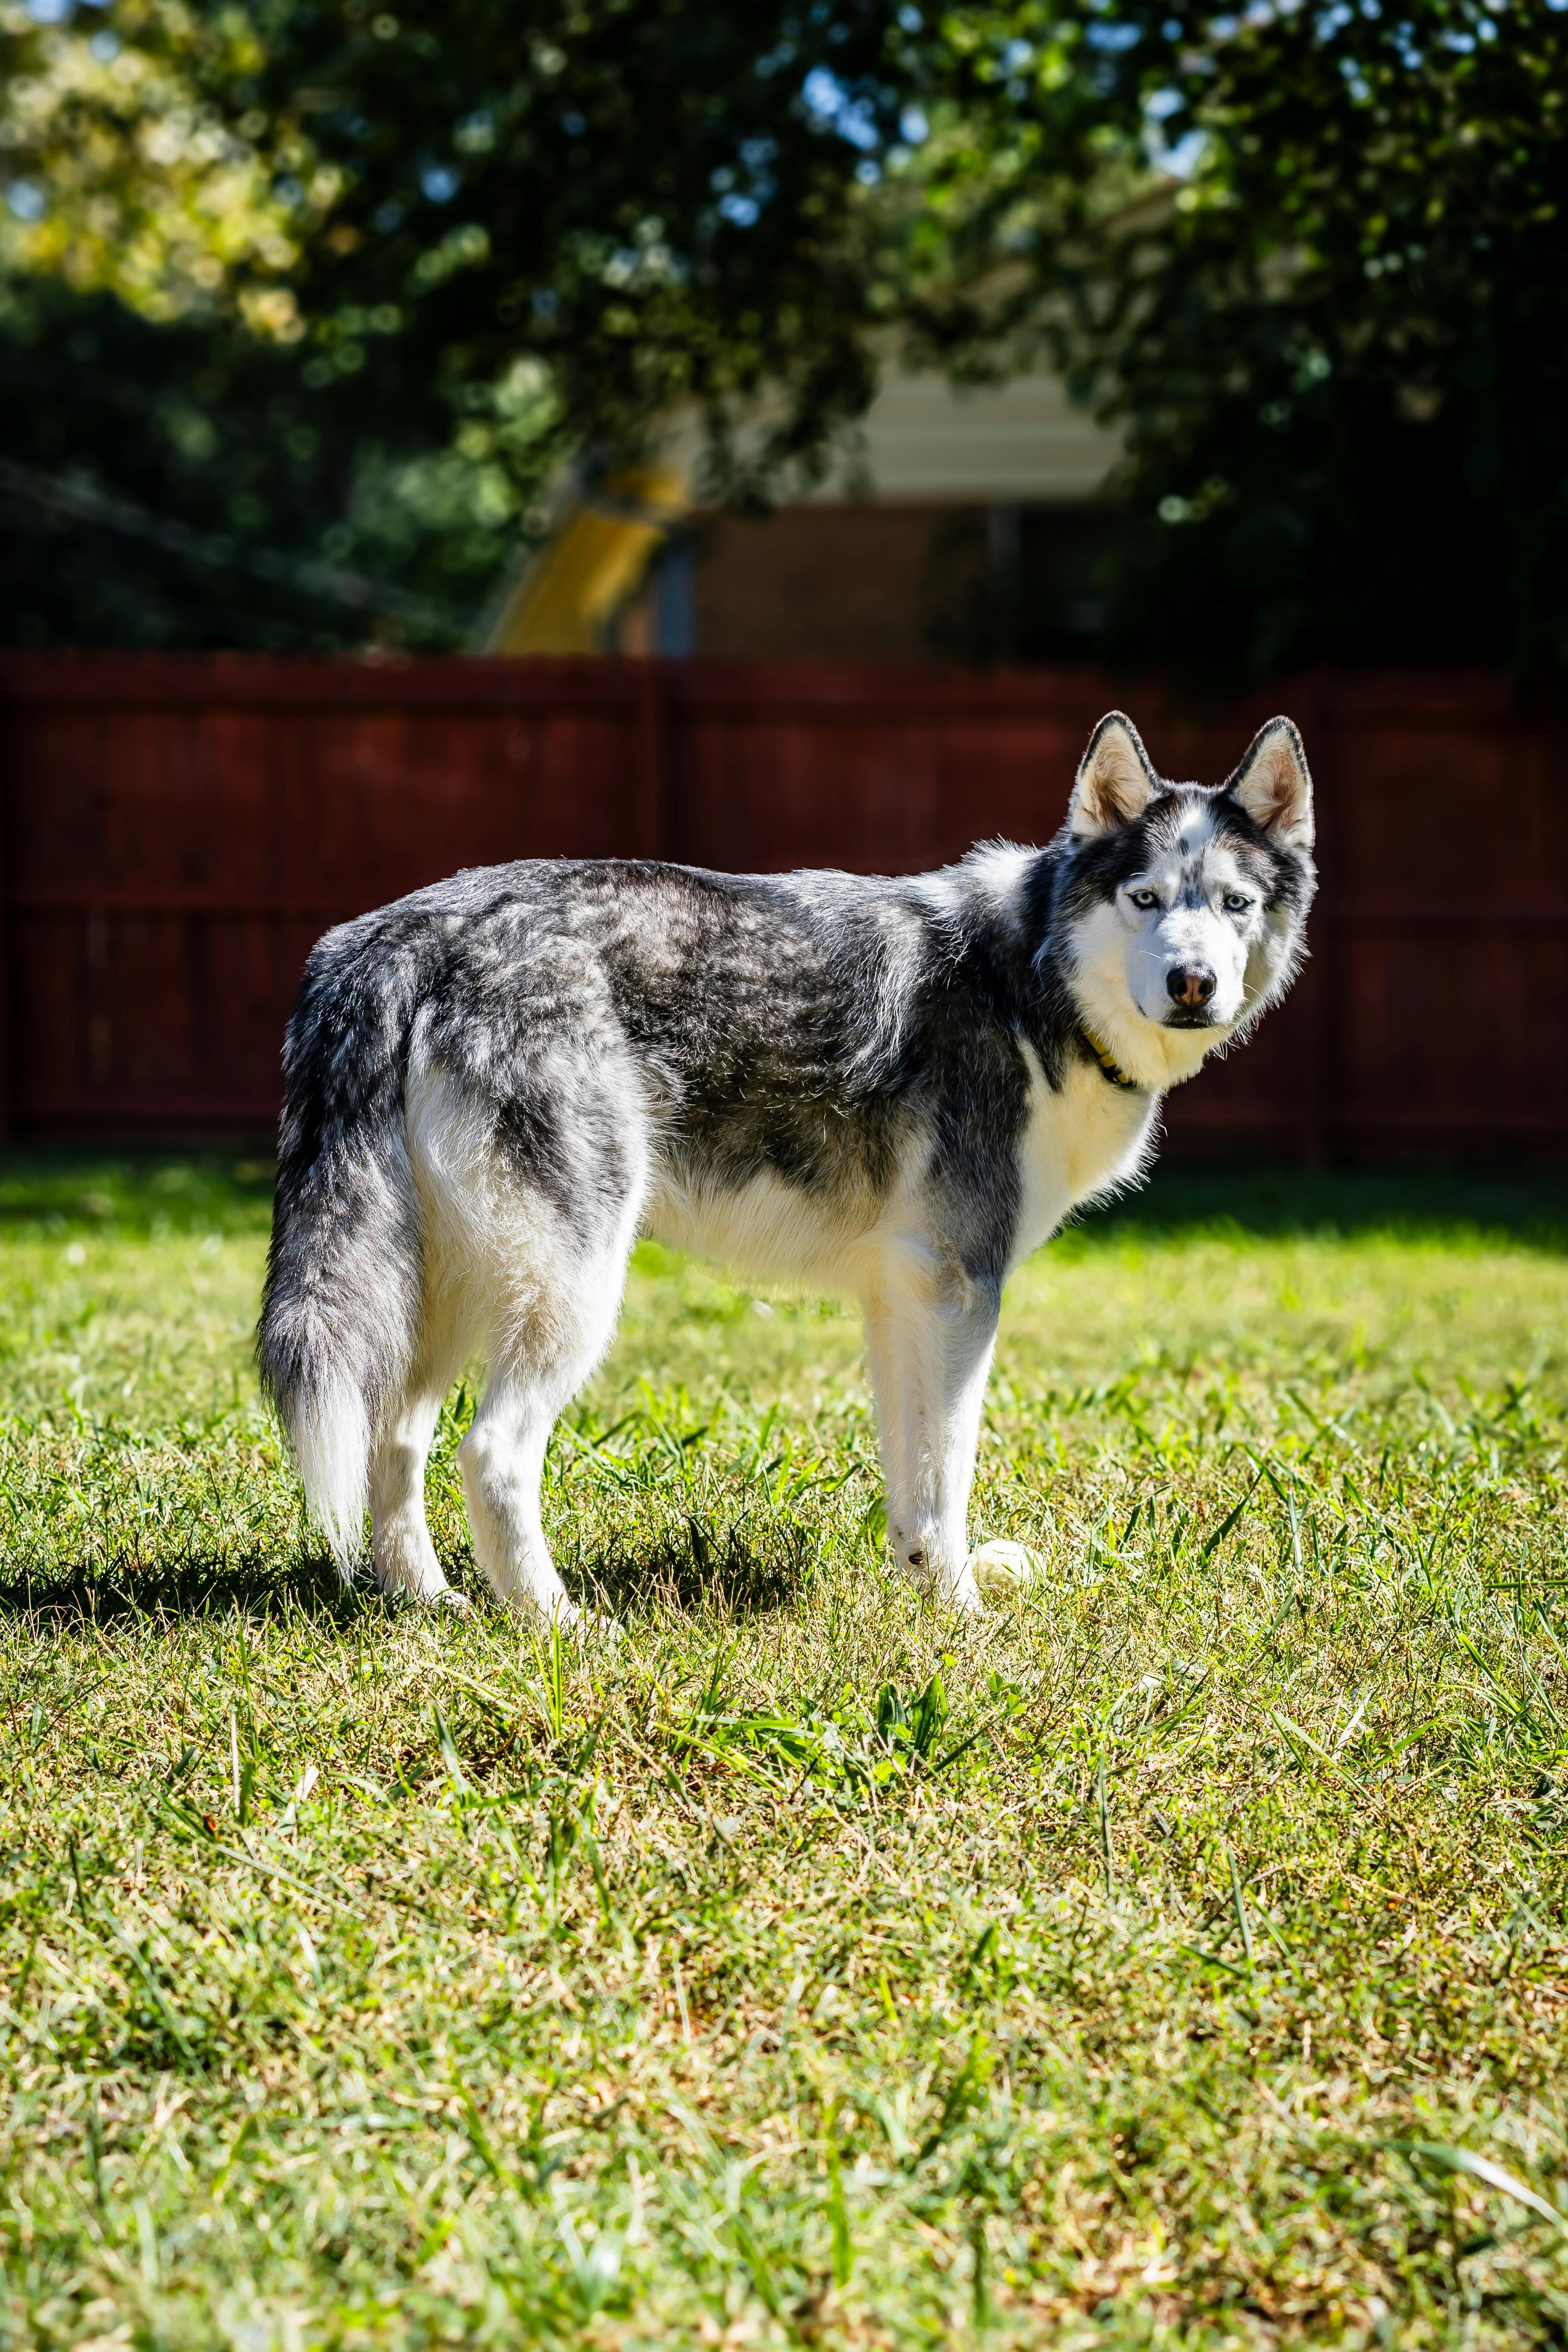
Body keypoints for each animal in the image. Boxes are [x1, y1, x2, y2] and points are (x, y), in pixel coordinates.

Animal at [261, 710, 1316, 1618]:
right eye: (1145, 900)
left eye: (1234, 905)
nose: (1193, 983)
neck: (1028, 980)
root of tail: (399, 932)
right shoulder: (962, 1292)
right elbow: (949, 1478)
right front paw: (964, 1617)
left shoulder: (905, 1300)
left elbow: (913, 1485)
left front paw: (921, 1594)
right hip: (570, 1290)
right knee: (492, 1453)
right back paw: (558, 1623)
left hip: (440, 1296)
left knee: (396, 1438)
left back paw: (427, 1602)